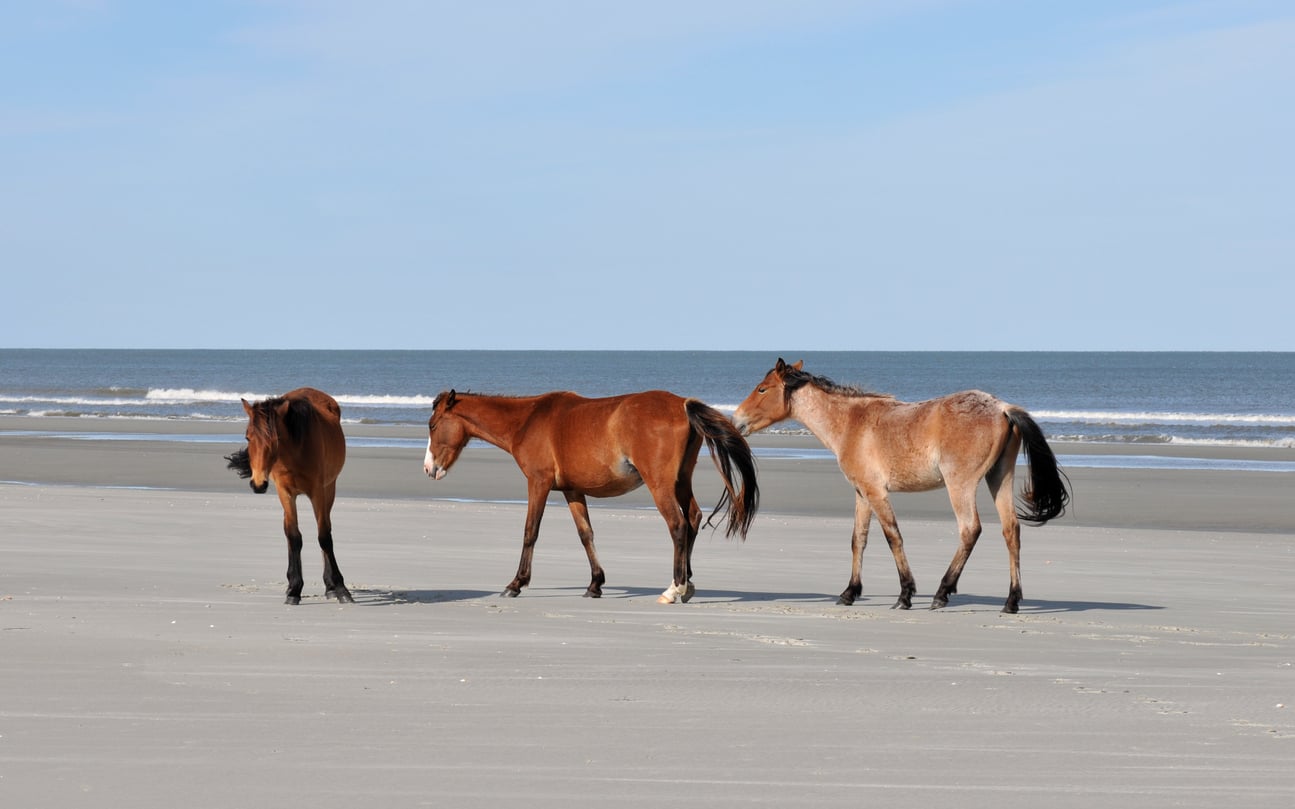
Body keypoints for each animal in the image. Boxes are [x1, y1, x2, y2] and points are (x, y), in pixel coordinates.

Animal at [225, 387, 353, 606]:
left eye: (275, 439)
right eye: (248, 437)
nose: (258, 484)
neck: (295, 451)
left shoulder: (318, 492)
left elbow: (324, 537)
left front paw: (340, 588)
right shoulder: (285, 493)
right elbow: (294, 537)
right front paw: (294, 589)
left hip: (329, 490)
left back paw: (330, 587)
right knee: (288, 532)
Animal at [423, 389, 759, 603]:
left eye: (433, 425)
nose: (429, 468)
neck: (528, 420)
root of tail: (683, 404)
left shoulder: (538, 483)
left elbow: (531, 531)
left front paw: (516, 583)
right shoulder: (572, 490)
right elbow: (586, 534)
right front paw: (595, 584)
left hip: (660, 484)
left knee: (677, 525)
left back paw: (674, 589)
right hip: (681, 480)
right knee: (692, 518)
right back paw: (686, 584)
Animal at [734, 359, 1069, 614]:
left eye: (762, 388)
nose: (737, 420)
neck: (850, 421)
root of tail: (1001, 407)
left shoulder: (876, 492)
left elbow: (893, 537)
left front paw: (905, 594)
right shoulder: (862, 493)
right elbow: (858, 540)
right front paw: (849, 593)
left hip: (960, 484)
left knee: (970, 530)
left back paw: (942, 593)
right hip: (998, 478)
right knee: (1011, 530)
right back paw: (1011, 601)